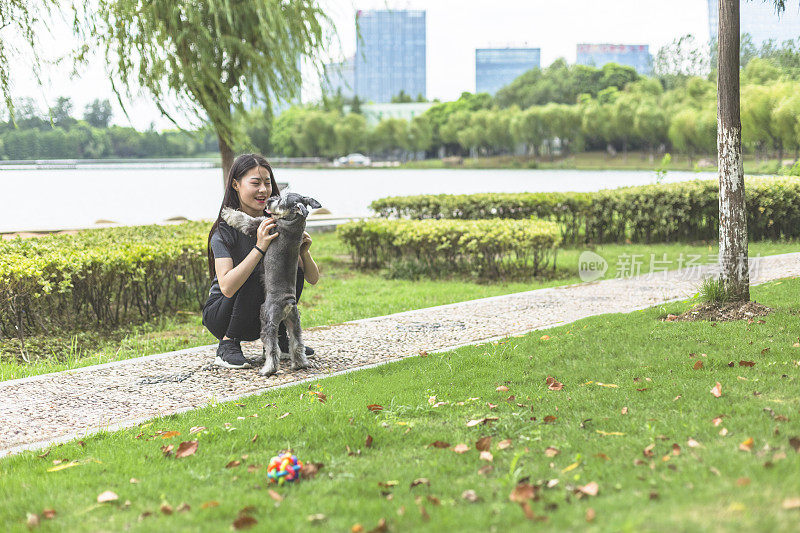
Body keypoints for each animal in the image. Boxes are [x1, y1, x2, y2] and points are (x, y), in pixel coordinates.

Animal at [220, 193, 320, 376]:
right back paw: (299, 364)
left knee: (272, 348)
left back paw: (268, 369)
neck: (292, 222)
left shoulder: (260, 225)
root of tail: (288, 302)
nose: (269, 200)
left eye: (281, 200)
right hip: (295, 322)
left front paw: (227, 212)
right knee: (297, 343)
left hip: (267, 320)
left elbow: (243, 219)